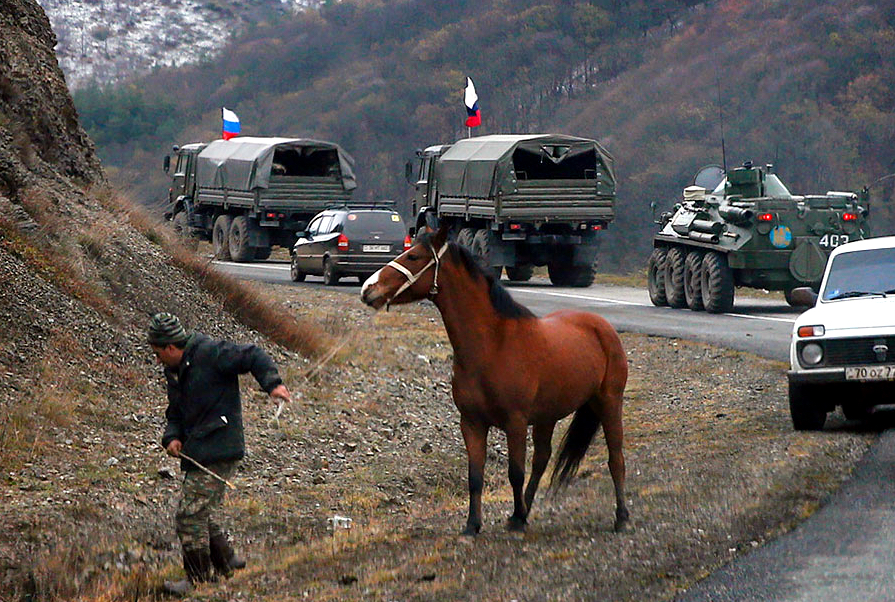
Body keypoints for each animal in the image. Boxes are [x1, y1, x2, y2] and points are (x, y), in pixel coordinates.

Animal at [358, 227, 632, 532]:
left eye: (414, 256)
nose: (368, 289)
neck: (493, 345)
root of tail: (602, 325)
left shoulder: (515, 422)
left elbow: (515, 472)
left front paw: (514, 520)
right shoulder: (472, 423)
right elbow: (475, 475)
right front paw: (473, 525)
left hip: (609, 403)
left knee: (616, 459)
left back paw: (620, 517)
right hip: (547, 415)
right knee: (542, 459)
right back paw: (524, 511)